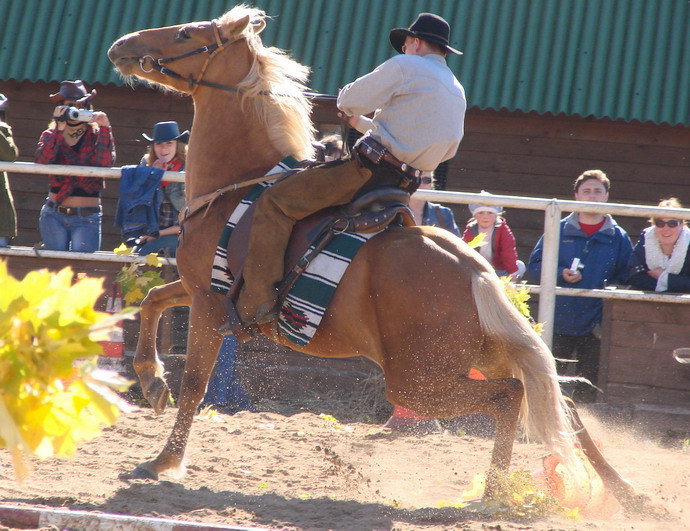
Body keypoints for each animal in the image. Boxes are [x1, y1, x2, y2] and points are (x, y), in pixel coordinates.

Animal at [107, 5, 640, 508]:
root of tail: (475, 272)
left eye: (184, 34)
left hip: (416, 382)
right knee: (559, 403)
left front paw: (163, 461)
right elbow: (152, 300)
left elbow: (196, 382)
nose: (122, 45)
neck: (239, 185)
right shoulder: (199, 286)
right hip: (482, 357)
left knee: (511, 397)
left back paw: (497, 491)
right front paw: (152, 383)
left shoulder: (209, 300)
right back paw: (626, 492)